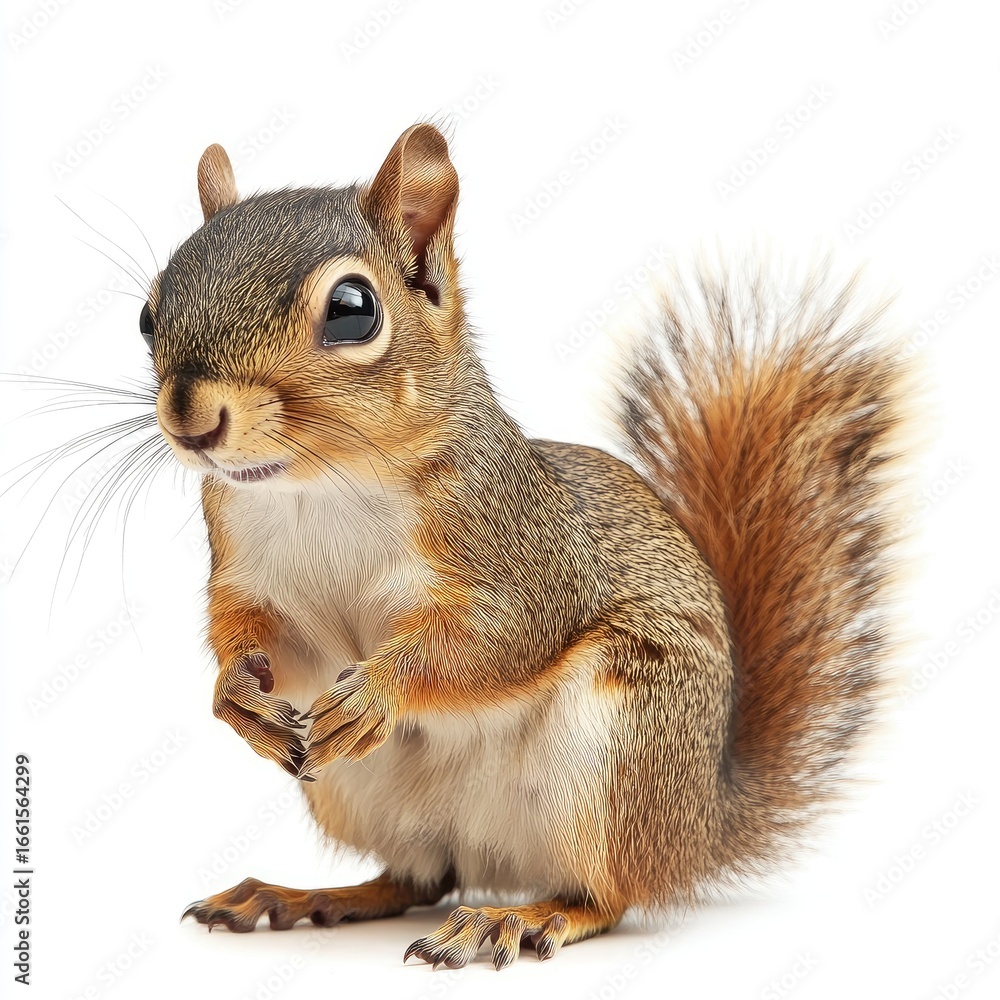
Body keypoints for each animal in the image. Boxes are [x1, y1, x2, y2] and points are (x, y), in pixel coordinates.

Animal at [135, 124, 913, 969]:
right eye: (147, 313)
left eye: (352, 311)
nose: (190, 418)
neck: (321, 485)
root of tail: (697, 825)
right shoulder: (251, 572)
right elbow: (260, 638)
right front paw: (237, 698)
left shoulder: (528, 553)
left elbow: (502, 637)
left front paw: (378, 690)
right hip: (357, 790)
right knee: (416, 877)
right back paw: (303, 896)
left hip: (614, 758)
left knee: (605, 894)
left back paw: (516, 917)